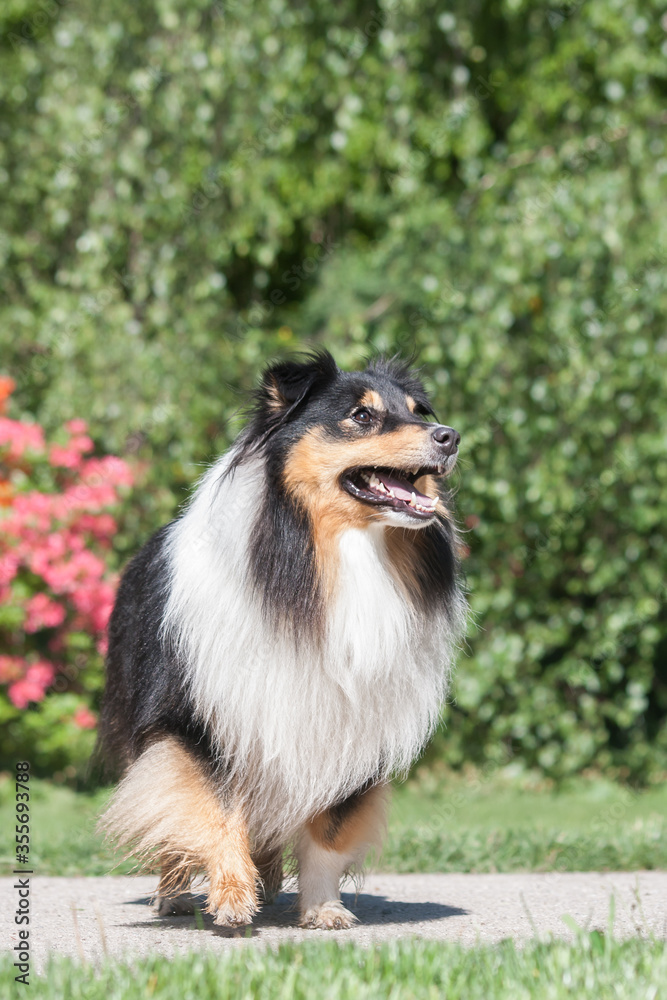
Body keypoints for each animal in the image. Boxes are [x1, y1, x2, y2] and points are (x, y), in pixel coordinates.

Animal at [99, 352, 468, 928]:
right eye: (361, 416)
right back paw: (177, 893)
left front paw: (321, 908)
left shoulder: (350, 727)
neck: (334, 555)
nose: (449, 436)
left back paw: (269, 882)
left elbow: (327, 832)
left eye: (415, 410)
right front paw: (230, 897)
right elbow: (213, 809)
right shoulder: (199, 716)